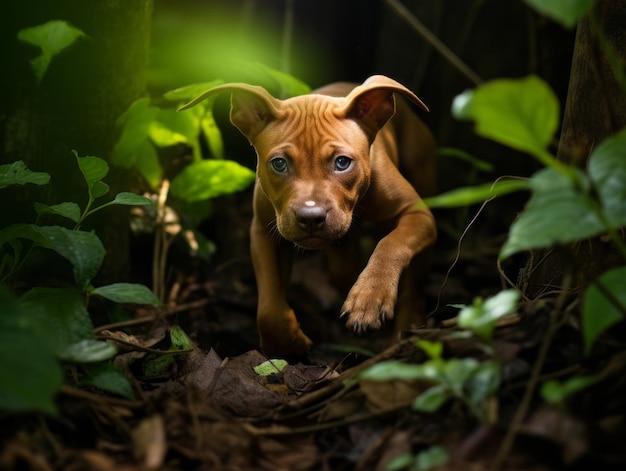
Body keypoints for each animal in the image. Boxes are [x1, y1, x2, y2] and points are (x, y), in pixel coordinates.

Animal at [180, 75, 434, 356]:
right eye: (279, 164)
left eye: (342, 162)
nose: (311, 217)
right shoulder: (263, 233)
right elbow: (268, 306)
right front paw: (288, 344)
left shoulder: (418, 214)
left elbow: (391, 244)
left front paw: (369, 297)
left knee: (414, 283)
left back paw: (409, 328)